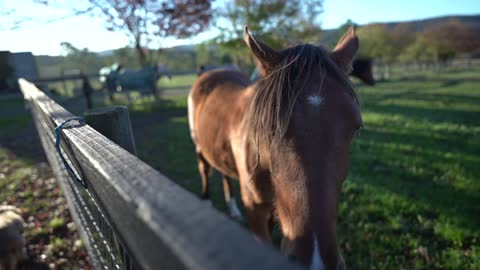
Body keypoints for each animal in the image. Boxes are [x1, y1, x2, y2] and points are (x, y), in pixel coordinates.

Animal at [189, 25, 362, 270]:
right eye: (270, 128)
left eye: (355, 127)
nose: (315, 261)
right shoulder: (255, 212)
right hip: (198, 146)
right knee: (204, 169)